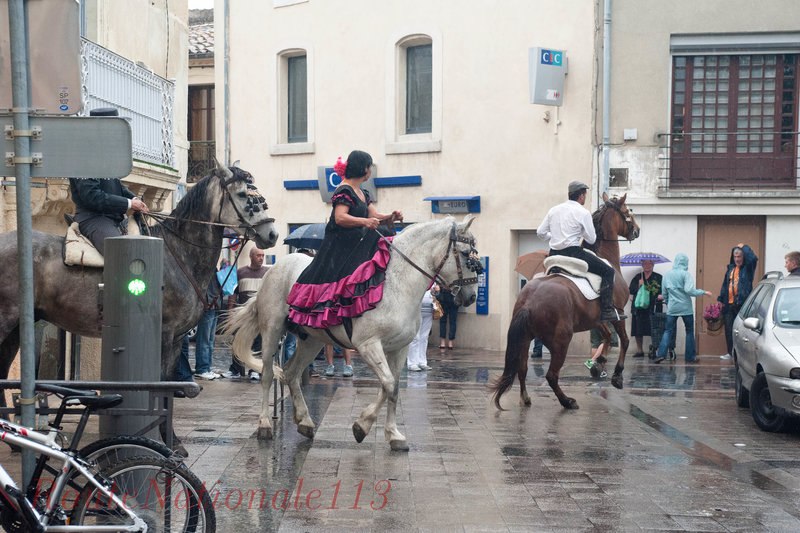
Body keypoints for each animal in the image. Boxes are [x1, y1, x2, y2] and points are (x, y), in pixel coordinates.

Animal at [222, 213, 478, 448]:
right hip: (272, 330)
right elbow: (388, 383)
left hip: (312, 339)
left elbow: (393, 387)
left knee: (291, 372)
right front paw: (362, 426)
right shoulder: (368, 345)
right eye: (467, 254)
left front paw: (393, 434)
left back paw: (305, 422)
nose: (471, 297)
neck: (397, 284)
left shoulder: (400, 348)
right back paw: (265, 424)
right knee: (267, 374)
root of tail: (273, 269)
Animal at [490, 193, 640, 410]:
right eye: (628, 212)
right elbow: (625, 341)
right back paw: (567, 401)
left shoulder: (596, 318)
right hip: (560, 341)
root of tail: (529, 302)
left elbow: (606, 337)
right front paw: (617, 376)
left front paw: (599, 363)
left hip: (526, 338)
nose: (637, 230)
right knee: (551, 375)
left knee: (522, 369)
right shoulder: (617, 312)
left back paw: (526, 398)